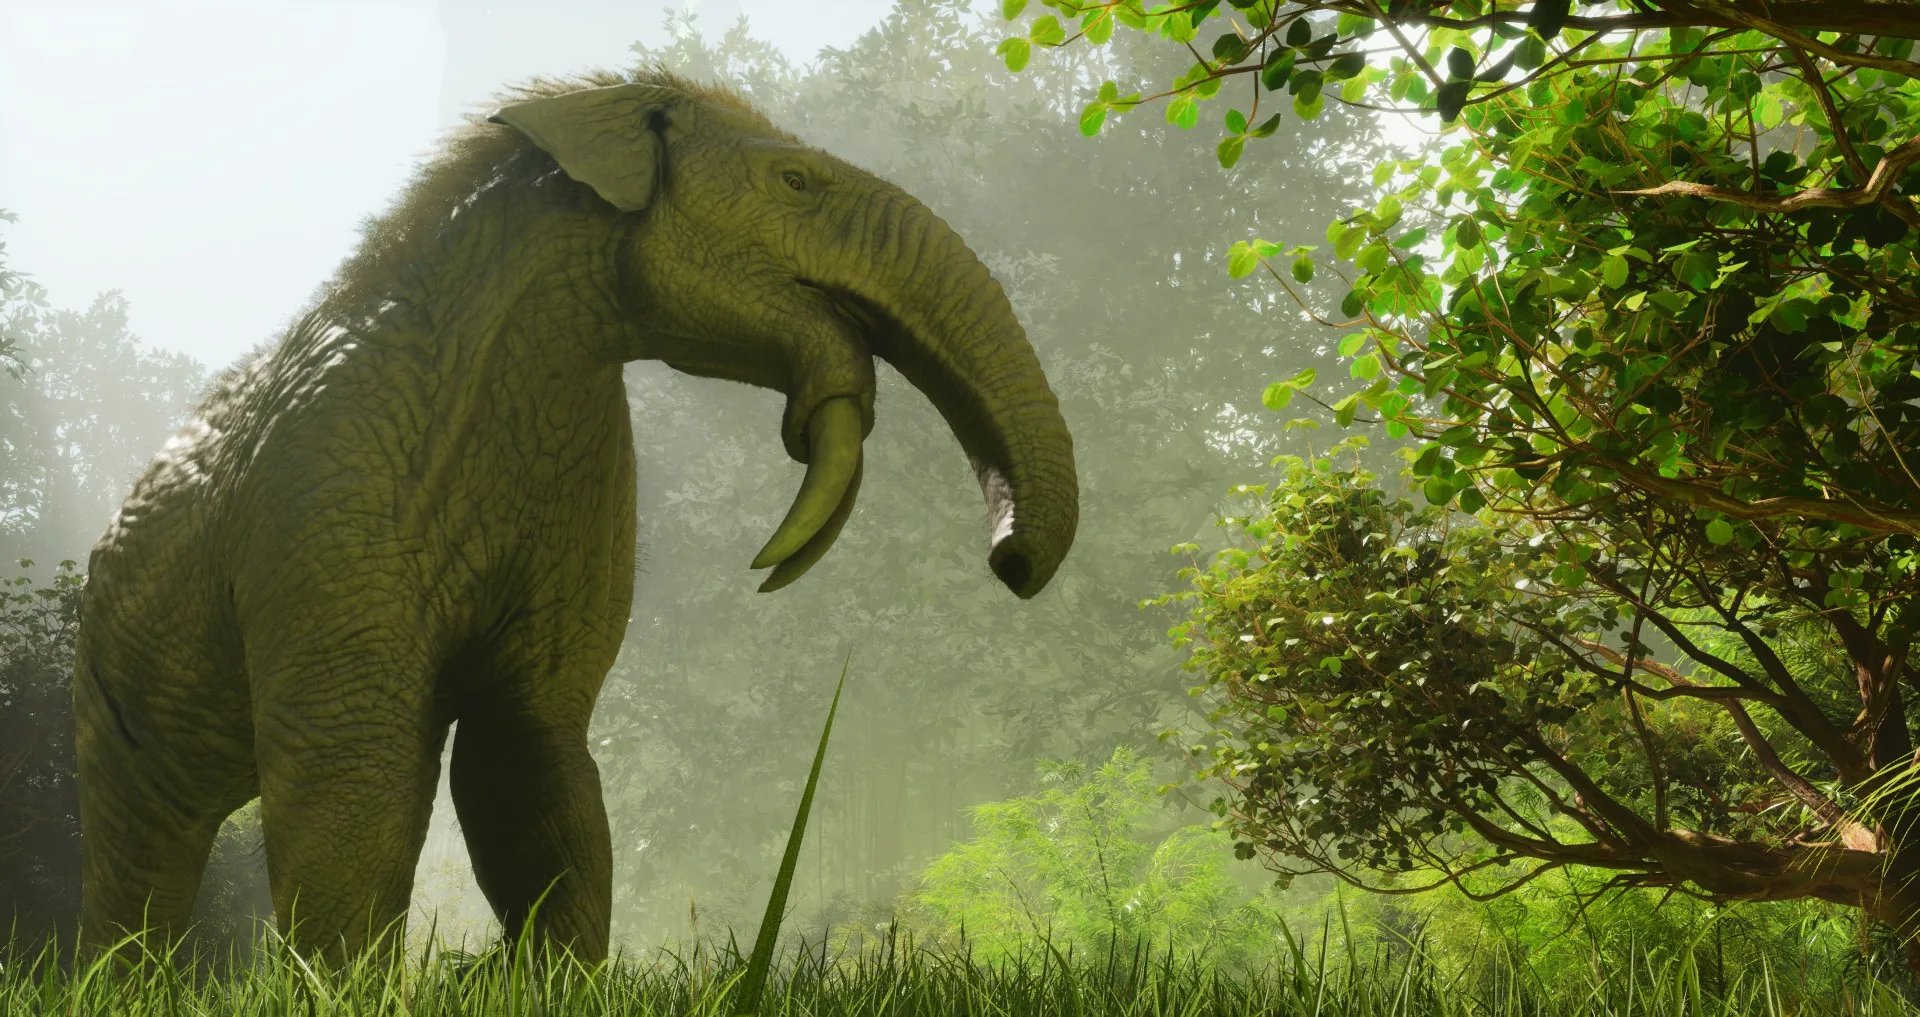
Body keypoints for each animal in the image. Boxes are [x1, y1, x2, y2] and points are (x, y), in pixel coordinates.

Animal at [72, 69, 1077, 963]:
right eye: (796, 180)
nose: (1011, 561)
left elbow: (522, 751)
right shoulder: (327, 505)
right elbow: (355, 766)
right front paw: (342, 985)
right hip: (111, 672)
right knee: (143, 842)